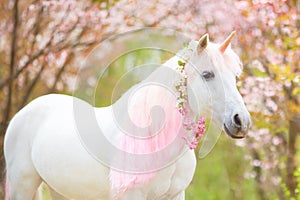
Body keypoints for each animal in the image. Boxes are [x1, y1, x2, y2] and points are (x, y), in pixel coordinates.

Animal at [3, 32, 251, 199]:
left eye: (235, 76)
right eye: (207, 74)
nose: (241, 121)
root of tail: (26, 111)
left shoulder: (174, 195)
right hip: (21, 186)